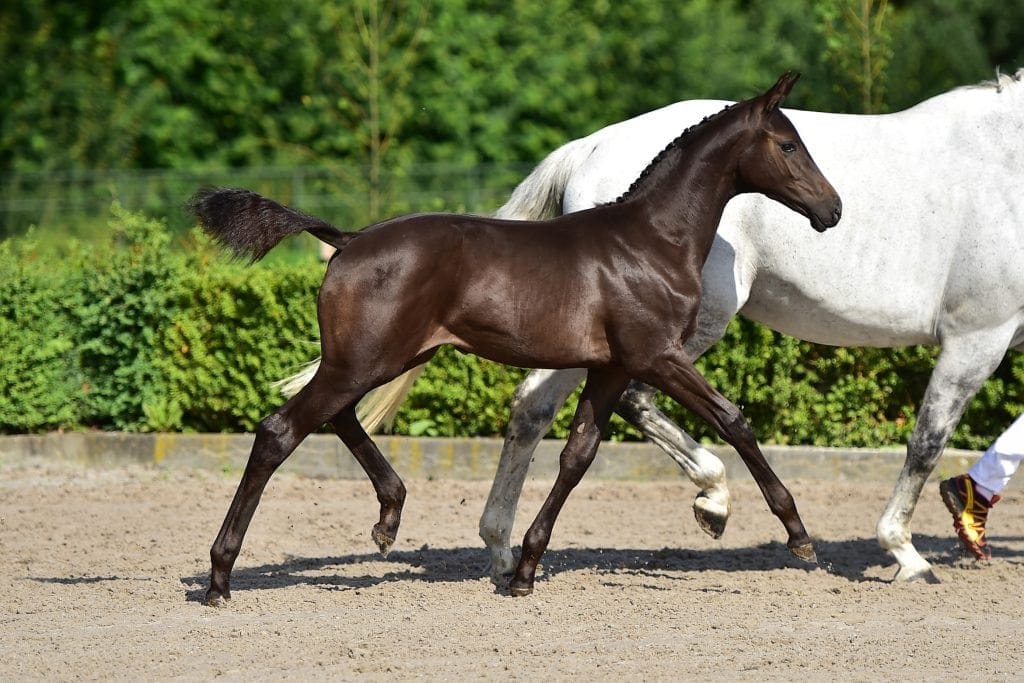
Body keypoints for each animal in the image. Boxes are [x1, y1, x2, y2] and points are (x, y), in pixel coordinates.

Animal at [193, 72, 841, 603]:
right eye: (789, 144)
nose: (832, 210)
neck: (651, 241)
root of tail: (347, 240)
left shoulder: (611, 367)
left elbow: (578, 455)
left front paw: (525, 569)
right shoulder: (657, 356)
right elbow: (734, 420)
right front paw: (797, 535)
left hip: (377, 357)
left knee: (337, 416)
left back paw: (388, 517)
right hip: (363, 359)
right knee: (280, 431)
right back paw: (221, 576)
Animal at [324, 68, 1024, 583]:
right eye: (788, 144)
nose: (833, 209)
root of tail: (589, 145)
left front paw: (966, 516)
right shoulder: (978, 334)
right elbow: (926, 439)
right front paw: (905, 551)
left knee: (535, 407)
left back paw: (503, 547)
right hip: (692, 323)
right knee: (610, 401)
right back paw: (707, 500)